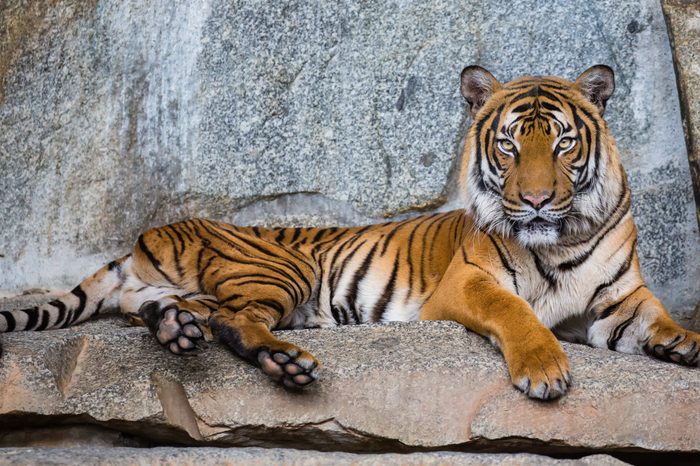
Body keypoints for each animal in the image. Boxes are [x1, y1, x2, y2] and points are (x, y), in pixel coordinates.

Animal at [1, 64, 700, 400]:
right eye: (507, 146)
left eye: (561, 145)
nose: (533, 201)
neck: (558, 237)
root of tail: (146, 236)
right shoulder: (467, 284)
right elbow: (517, 312)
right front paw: (545, 369)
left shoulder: (618, 301)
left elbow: (658, 316)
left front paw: (685, 344)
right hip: (279, 268)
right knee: (233, 320)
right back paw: (285, 362)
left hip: (184, 291)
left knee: (165, 312)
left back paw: (177, 331)